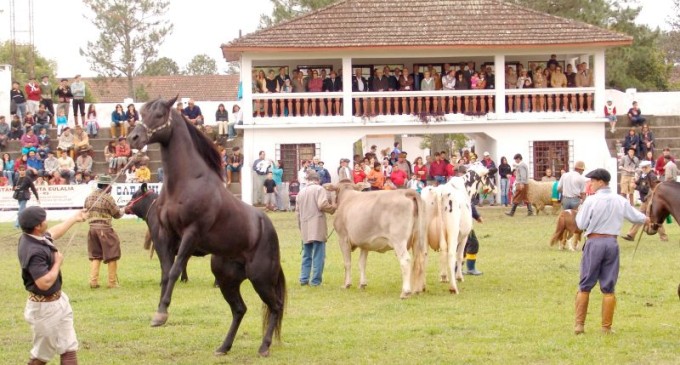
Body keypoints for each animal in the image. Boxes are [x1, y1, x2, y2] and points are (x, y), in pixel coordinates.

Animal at [126, 96, 286, 356]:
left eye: (159, 115)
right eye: (141, 113)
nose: (133, 138)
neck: (186, 183)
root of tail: (267, 228)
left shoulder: (191, 234)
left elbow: (175, 270)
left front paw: (162, 313)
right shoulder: (166, 235)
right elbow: (165, 273)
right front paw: (159, 311)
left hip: (260, 278)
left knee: (276, 306)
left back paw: (264, 347)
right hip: (226, 277)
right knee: (239, 309)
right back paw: (224, 346)